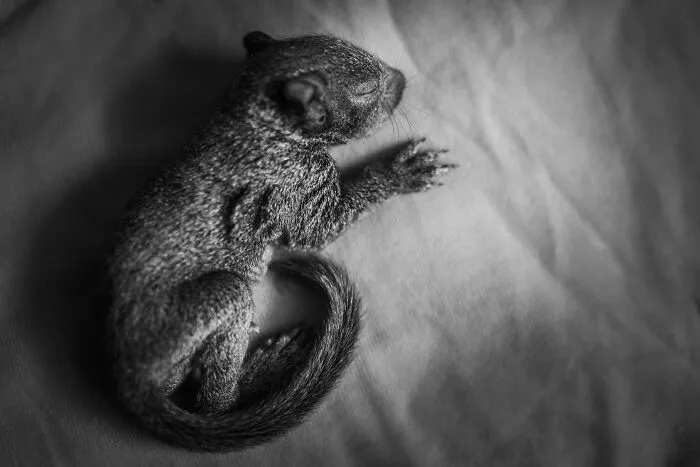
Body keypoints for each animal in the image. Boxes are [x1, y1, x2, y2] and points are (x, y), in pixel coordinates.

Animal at [106, 31, 456, 452]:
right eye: (367, 89)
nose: (401, 77)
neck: (251, 118)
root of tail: (130, 380)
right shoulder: (297, 183)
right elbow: (317, 230)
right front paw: (396, 174)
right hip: (215, 300)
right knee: (214, 403)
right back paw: (262, 367)